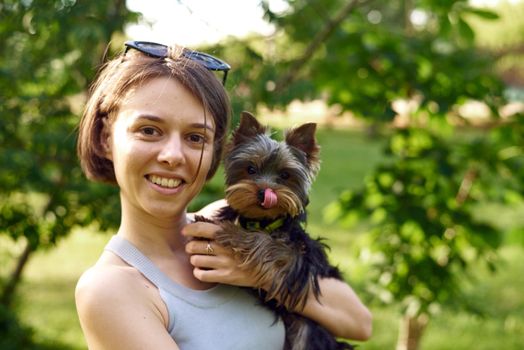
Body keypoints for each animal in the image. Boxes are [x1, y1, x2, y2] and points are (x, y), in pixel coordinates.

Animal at [211, 112, 354, 350]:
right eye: (250, 169)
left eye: (285, 175)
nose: (264, 192)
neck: (263, 223)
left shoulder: (301, 263)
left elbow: (276, 249)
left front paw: (235, 234)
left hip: (306, 331)